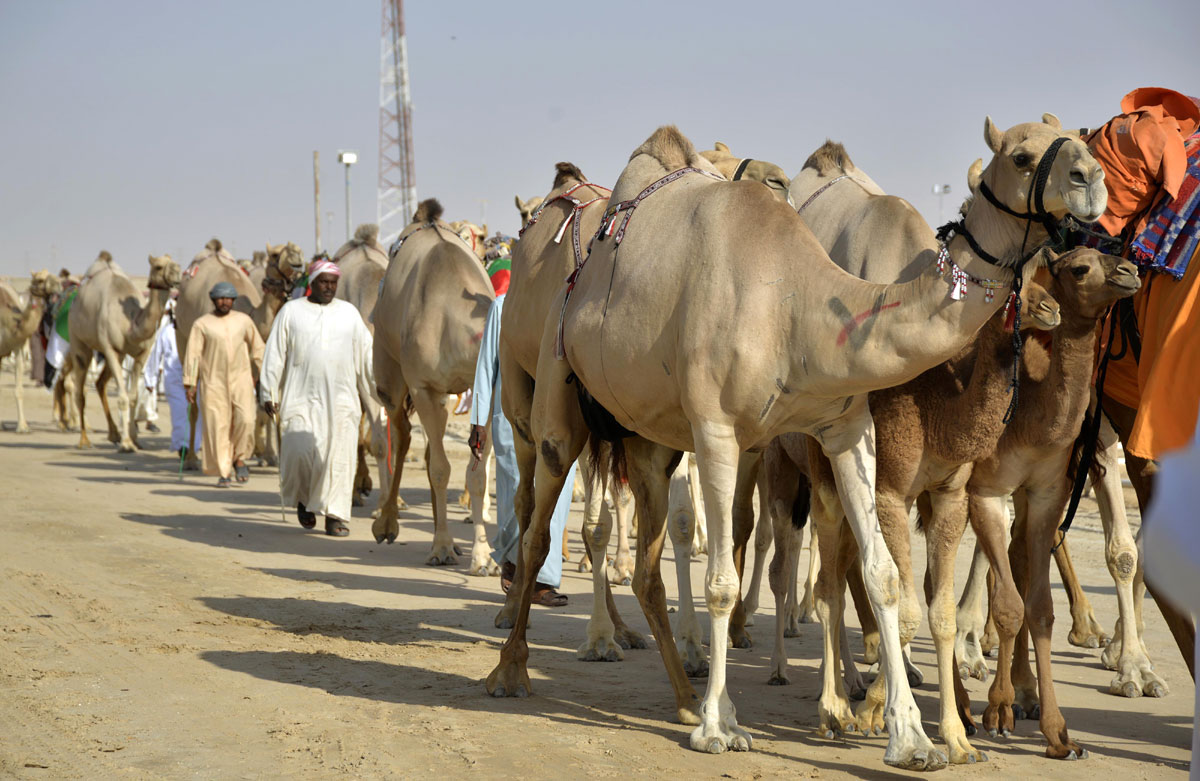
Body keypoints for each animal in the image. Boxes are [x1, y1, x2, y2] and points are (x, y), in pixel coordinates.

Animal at [63, 252, 181, 451]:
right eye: (158, 266)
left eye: (175, 262)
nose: (178, 272)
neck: (131, 323)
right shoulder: (109, 348)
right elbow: (123, 397)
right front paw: (126, 444)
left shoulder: (141, 354)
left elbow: (133, 397)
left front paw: (134, 440)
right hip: (79, 341)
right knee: (79, 390)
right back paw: (84, 440)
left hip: (119, 355)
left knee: (100, 383)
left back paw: (113, 434)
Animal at [175, 239, 304, 468]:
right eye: (274, 254)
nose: (297, 255)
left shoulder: (256, 357)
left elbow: (265, 405)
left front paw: (272, 456)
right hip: (183, 338)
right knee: (194, 404)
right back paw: (191, 460)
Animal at [371, 199, 498, 575]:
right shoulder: (423, 386)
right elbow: (441, 469)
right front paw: (440, 547)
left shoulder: (487, 392)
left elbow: (476, 474)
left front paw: (483, 557)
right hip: (391, 372)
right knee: (401, 435)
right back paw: (387, 523)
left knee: (429, 446)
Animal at [486, 121, 1104, 772]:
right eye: (1022, 156)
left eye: (1076, 138)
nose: (1092, 180)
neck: (795, 307)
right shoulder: (717, 431)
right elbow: (722, 582)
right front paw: (721, 726)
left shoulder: (847, 428)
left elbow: (882, 574)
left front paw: (912, 739)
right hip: (553, 380)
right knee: (537, 526)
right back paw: (512, 670)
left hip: (648, 441)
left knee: (649, 566)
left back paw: (681, 698)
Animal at [963, 249, 1138, 760]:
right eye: (1080, 268)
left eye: (1115, 255)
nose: (1132, 272)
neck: (1029, 417)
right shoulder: (986, 490)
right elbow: (1008, 604)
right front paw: (996, 709)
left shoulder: (1044, 492)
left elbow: (1037, 605)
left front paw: (1058, 733)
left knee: (1016, 558)